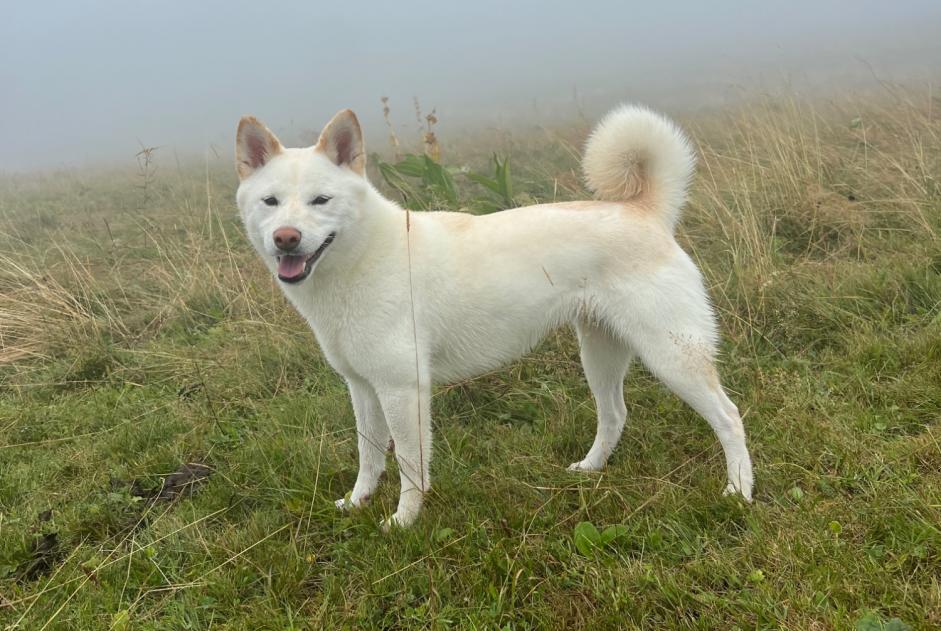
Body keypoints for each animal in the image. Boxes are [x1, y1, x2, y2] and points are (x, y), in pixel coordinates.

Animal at [237, 107, 756, 528]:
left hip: (672, 357)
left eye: (321, 200)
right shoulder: (363, 388)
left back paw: (738, 491)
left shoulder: (403, 391)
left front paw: (404, 522)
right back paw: (590, 470)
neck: (360, 257)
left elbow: (409, 466)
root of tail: (645, 211)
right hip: (599, 354)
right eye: (271, 202)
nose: (286, 238)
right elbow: (369, 457)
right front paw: (357, 503)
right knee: (615, 415)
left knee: (730, 417)